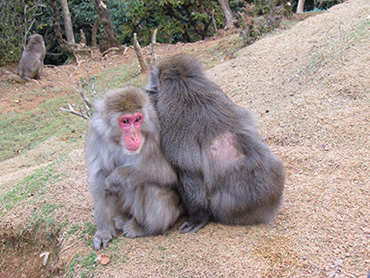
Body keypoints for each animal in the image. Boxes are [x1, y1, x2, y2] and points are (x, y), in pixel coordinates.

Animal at [84, 85, 182, 250]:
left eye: (137, 119)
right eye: (125, 121)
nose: (135, 137)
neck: (118, 143)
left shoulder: (154, 133)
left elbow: (168, 173)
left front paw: (117, 177)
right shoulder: (96, 134)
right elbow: (99, 176)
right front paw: (103, 230)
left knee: (149, 184)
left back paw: (145, 228)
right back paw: (123, 216)